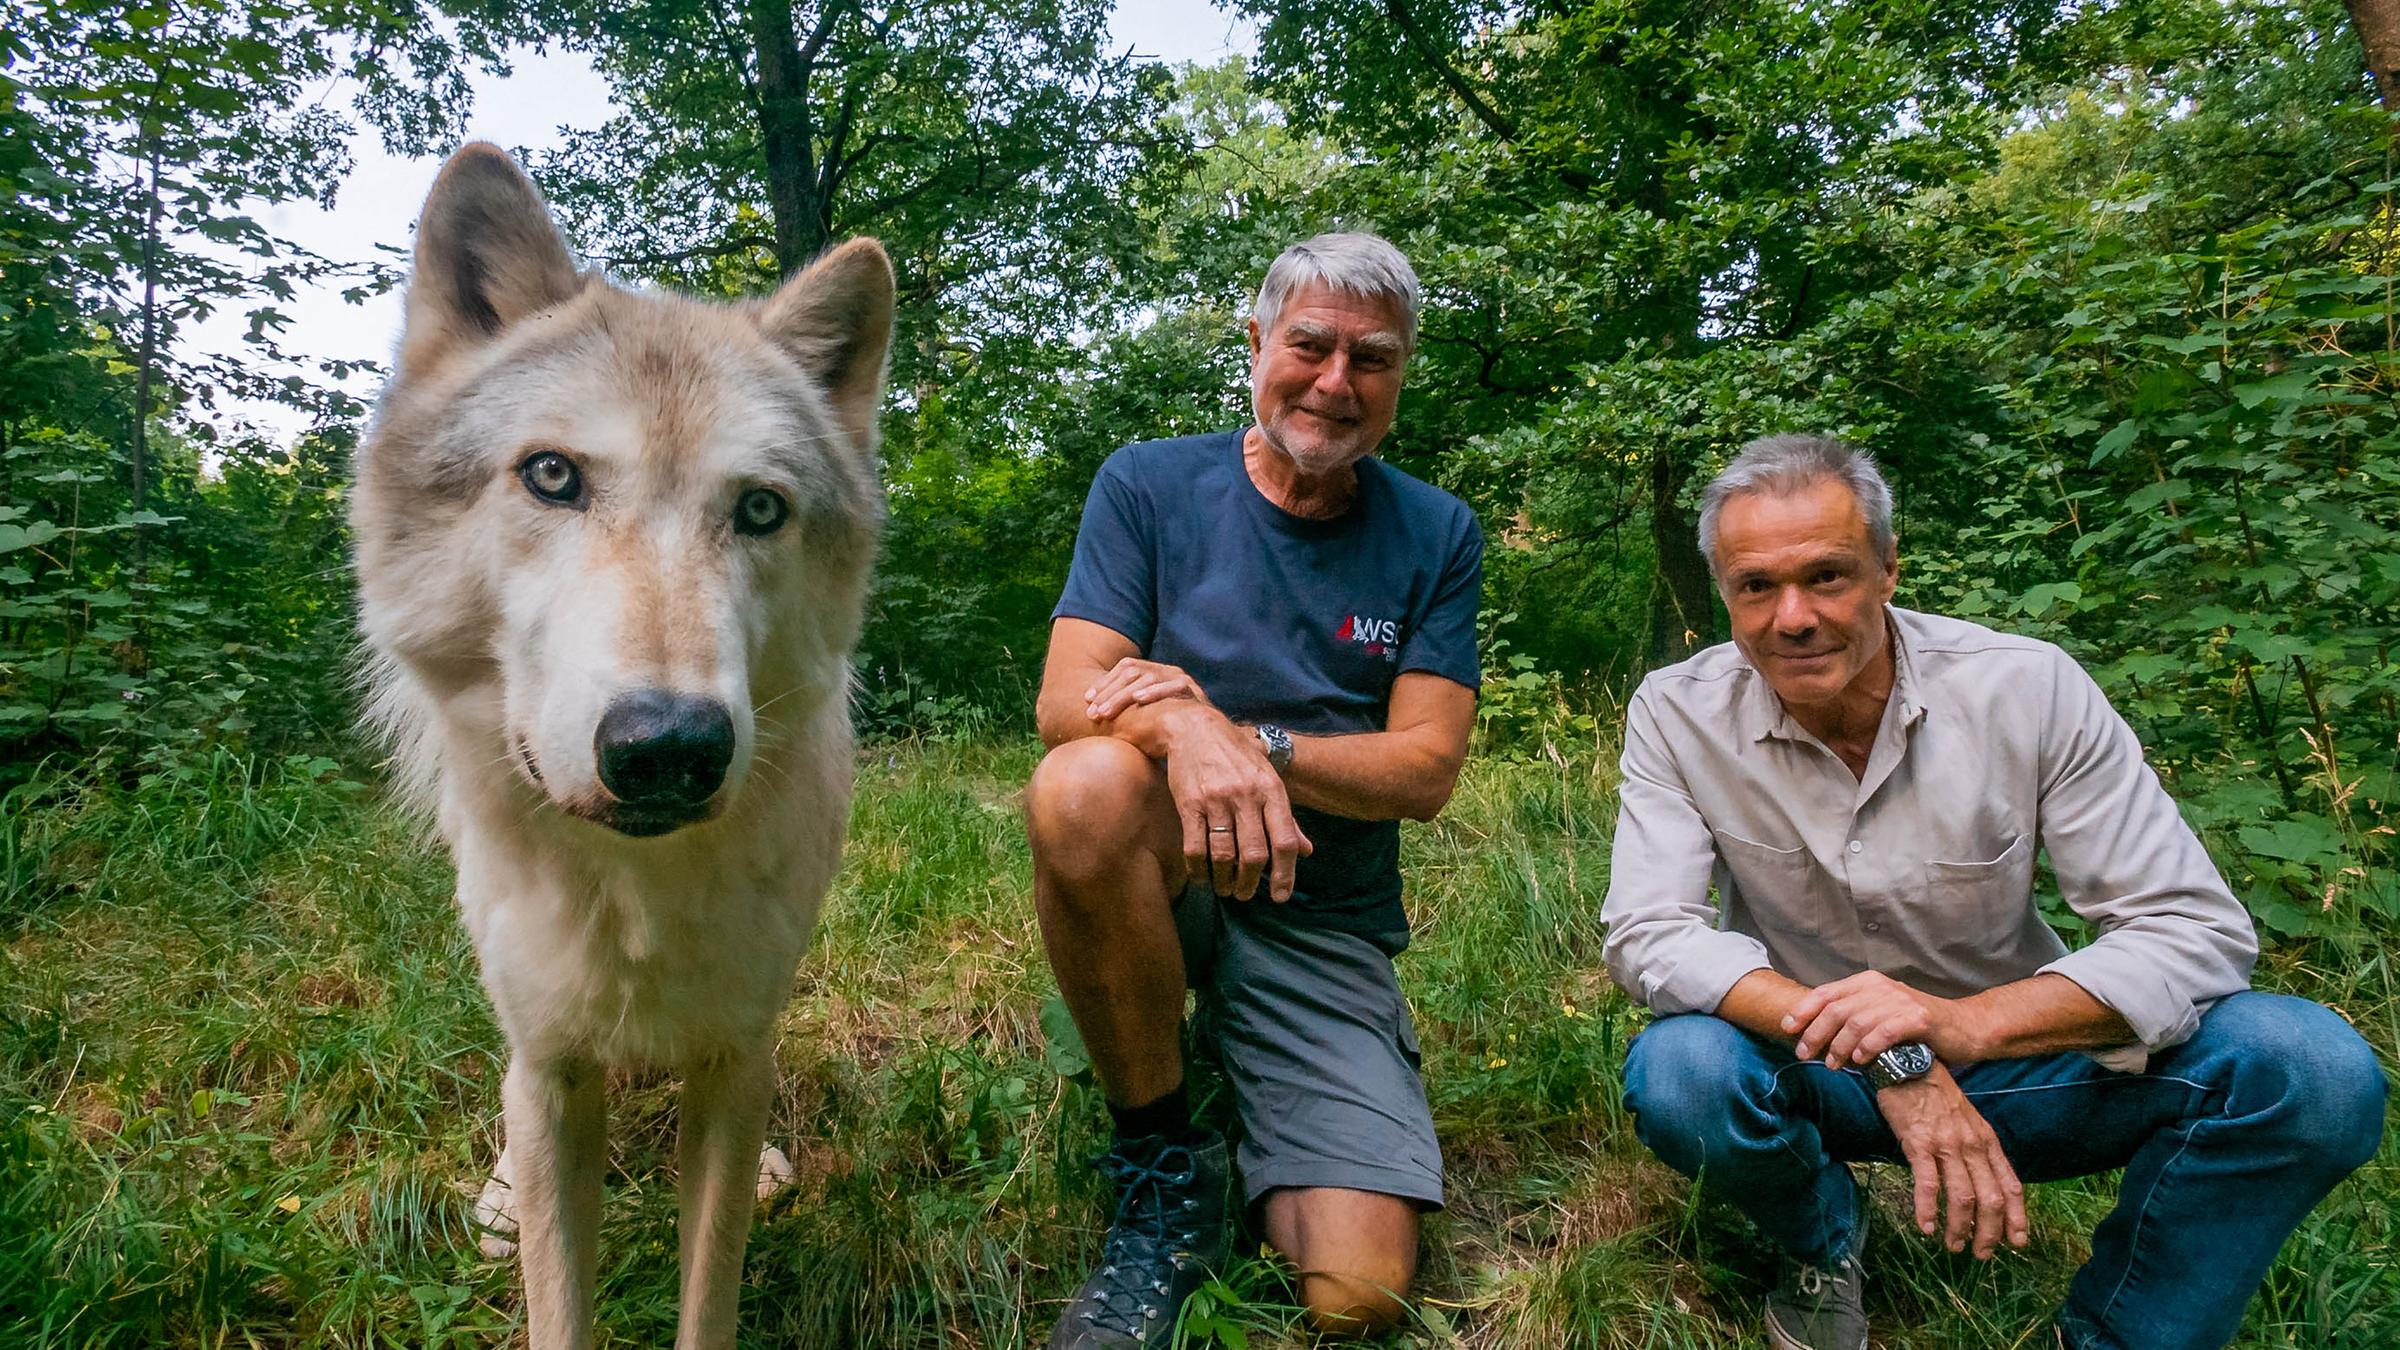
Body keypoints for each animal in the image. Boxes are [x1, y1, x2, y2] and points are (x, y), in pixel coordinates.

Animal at [350, 142, 892, 1349]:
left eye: (760, 510)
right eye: (552, 475)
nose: (669, 746)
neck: (635, 893)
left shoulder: (734, 1057)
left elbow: (710, 1290)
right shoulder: (553, 1071)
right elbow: (558, 1295)